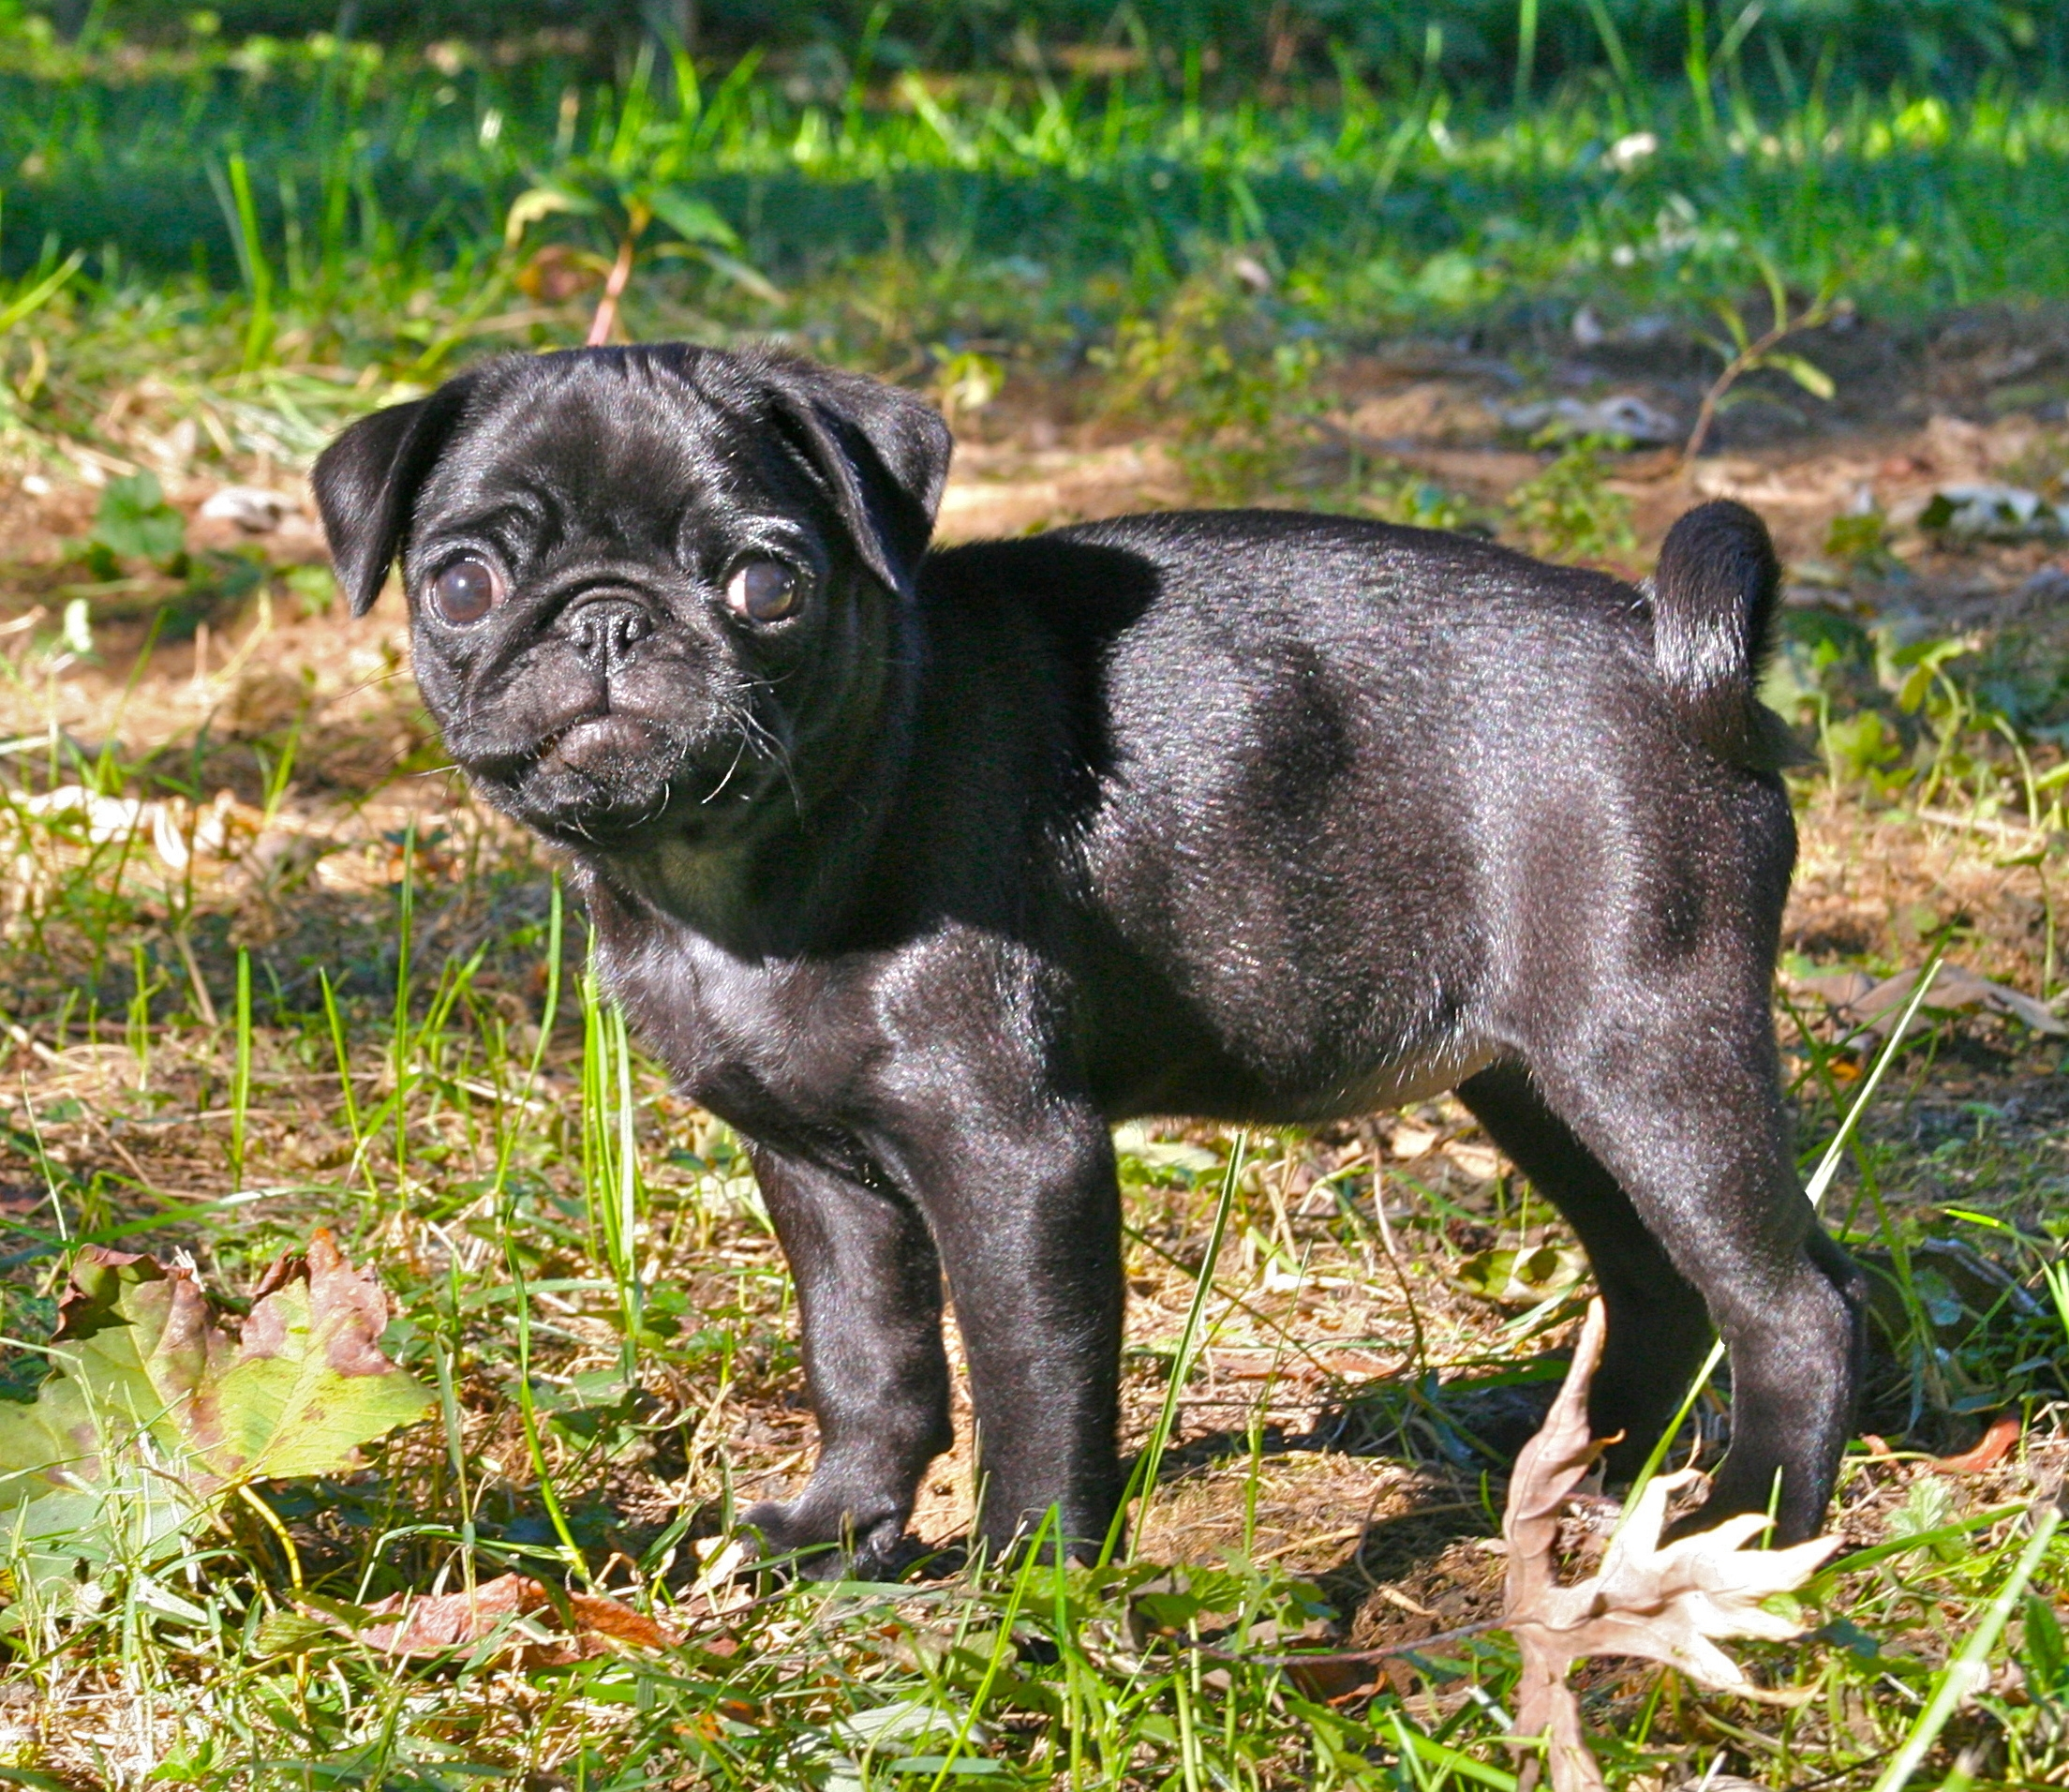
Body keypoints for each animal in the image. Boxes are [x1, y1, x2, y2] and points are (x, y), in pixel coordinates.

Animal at [314, 341, 1870, 1572]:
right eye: (462, 583)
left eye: (766, 582)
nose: (605, 616)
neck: (732, 871)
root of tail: (1673, 656)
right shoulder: (818, 1172)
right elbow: (866, 1359)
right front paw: (839, 1531)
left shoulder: (1014, 1158)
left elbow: (1030, 1376)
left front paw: (1024, 1584)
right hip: (1541, 1083)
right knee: (1661, 1278)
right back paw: (1585, 1463)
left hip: (1644, 1051)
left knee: (1795, 1304)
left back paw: (1748, 1519)